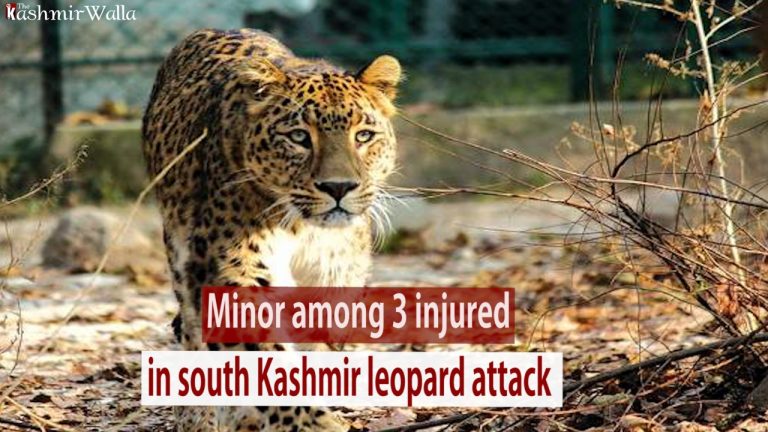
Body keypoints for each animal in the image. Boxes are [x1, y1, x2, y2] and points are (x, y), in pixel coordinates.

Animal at [142, 28, 402, 431]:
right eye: (298, 137)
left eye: (363, 135)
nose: (339, 187)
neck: (306, 230)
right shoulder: (231, 265)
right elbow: (263, 353)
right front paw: (311, 422)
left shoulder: (335, 277)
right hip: (179, 247)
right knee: (191, 330)